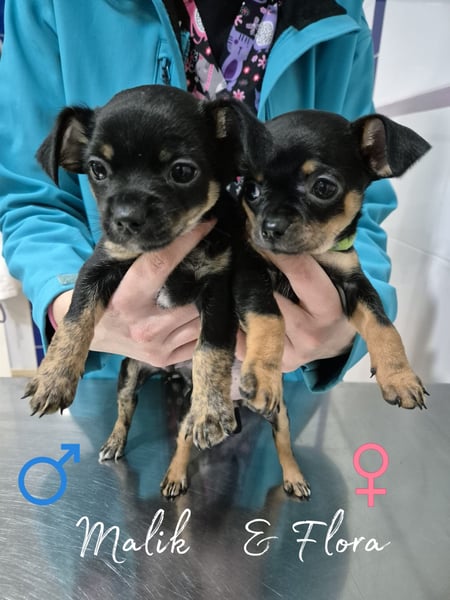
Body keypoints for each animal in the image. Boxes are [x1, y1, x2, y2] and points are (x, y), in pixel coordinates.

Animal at [25, 85, 311, 500]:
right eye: (98, 169)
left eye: (182, 171)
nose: (125, 219)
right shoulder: (98, 268)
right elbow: (75, 320)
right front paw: (54, 377)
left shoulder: (217, 292)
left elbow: (210, 349)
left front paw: (210, 412)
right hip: (130, 373)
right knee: (125, 409)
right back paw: (114, 441)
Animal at [240, 109, 431, 414]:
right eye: (250, 190)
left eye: (323, 187)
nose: (270, 228)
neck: (315, 254)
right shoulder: (250, 272)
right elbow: (270, 317)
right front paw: (262, 376)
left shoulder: (354, 283)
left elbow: (383, 324)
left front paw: (400, 376)